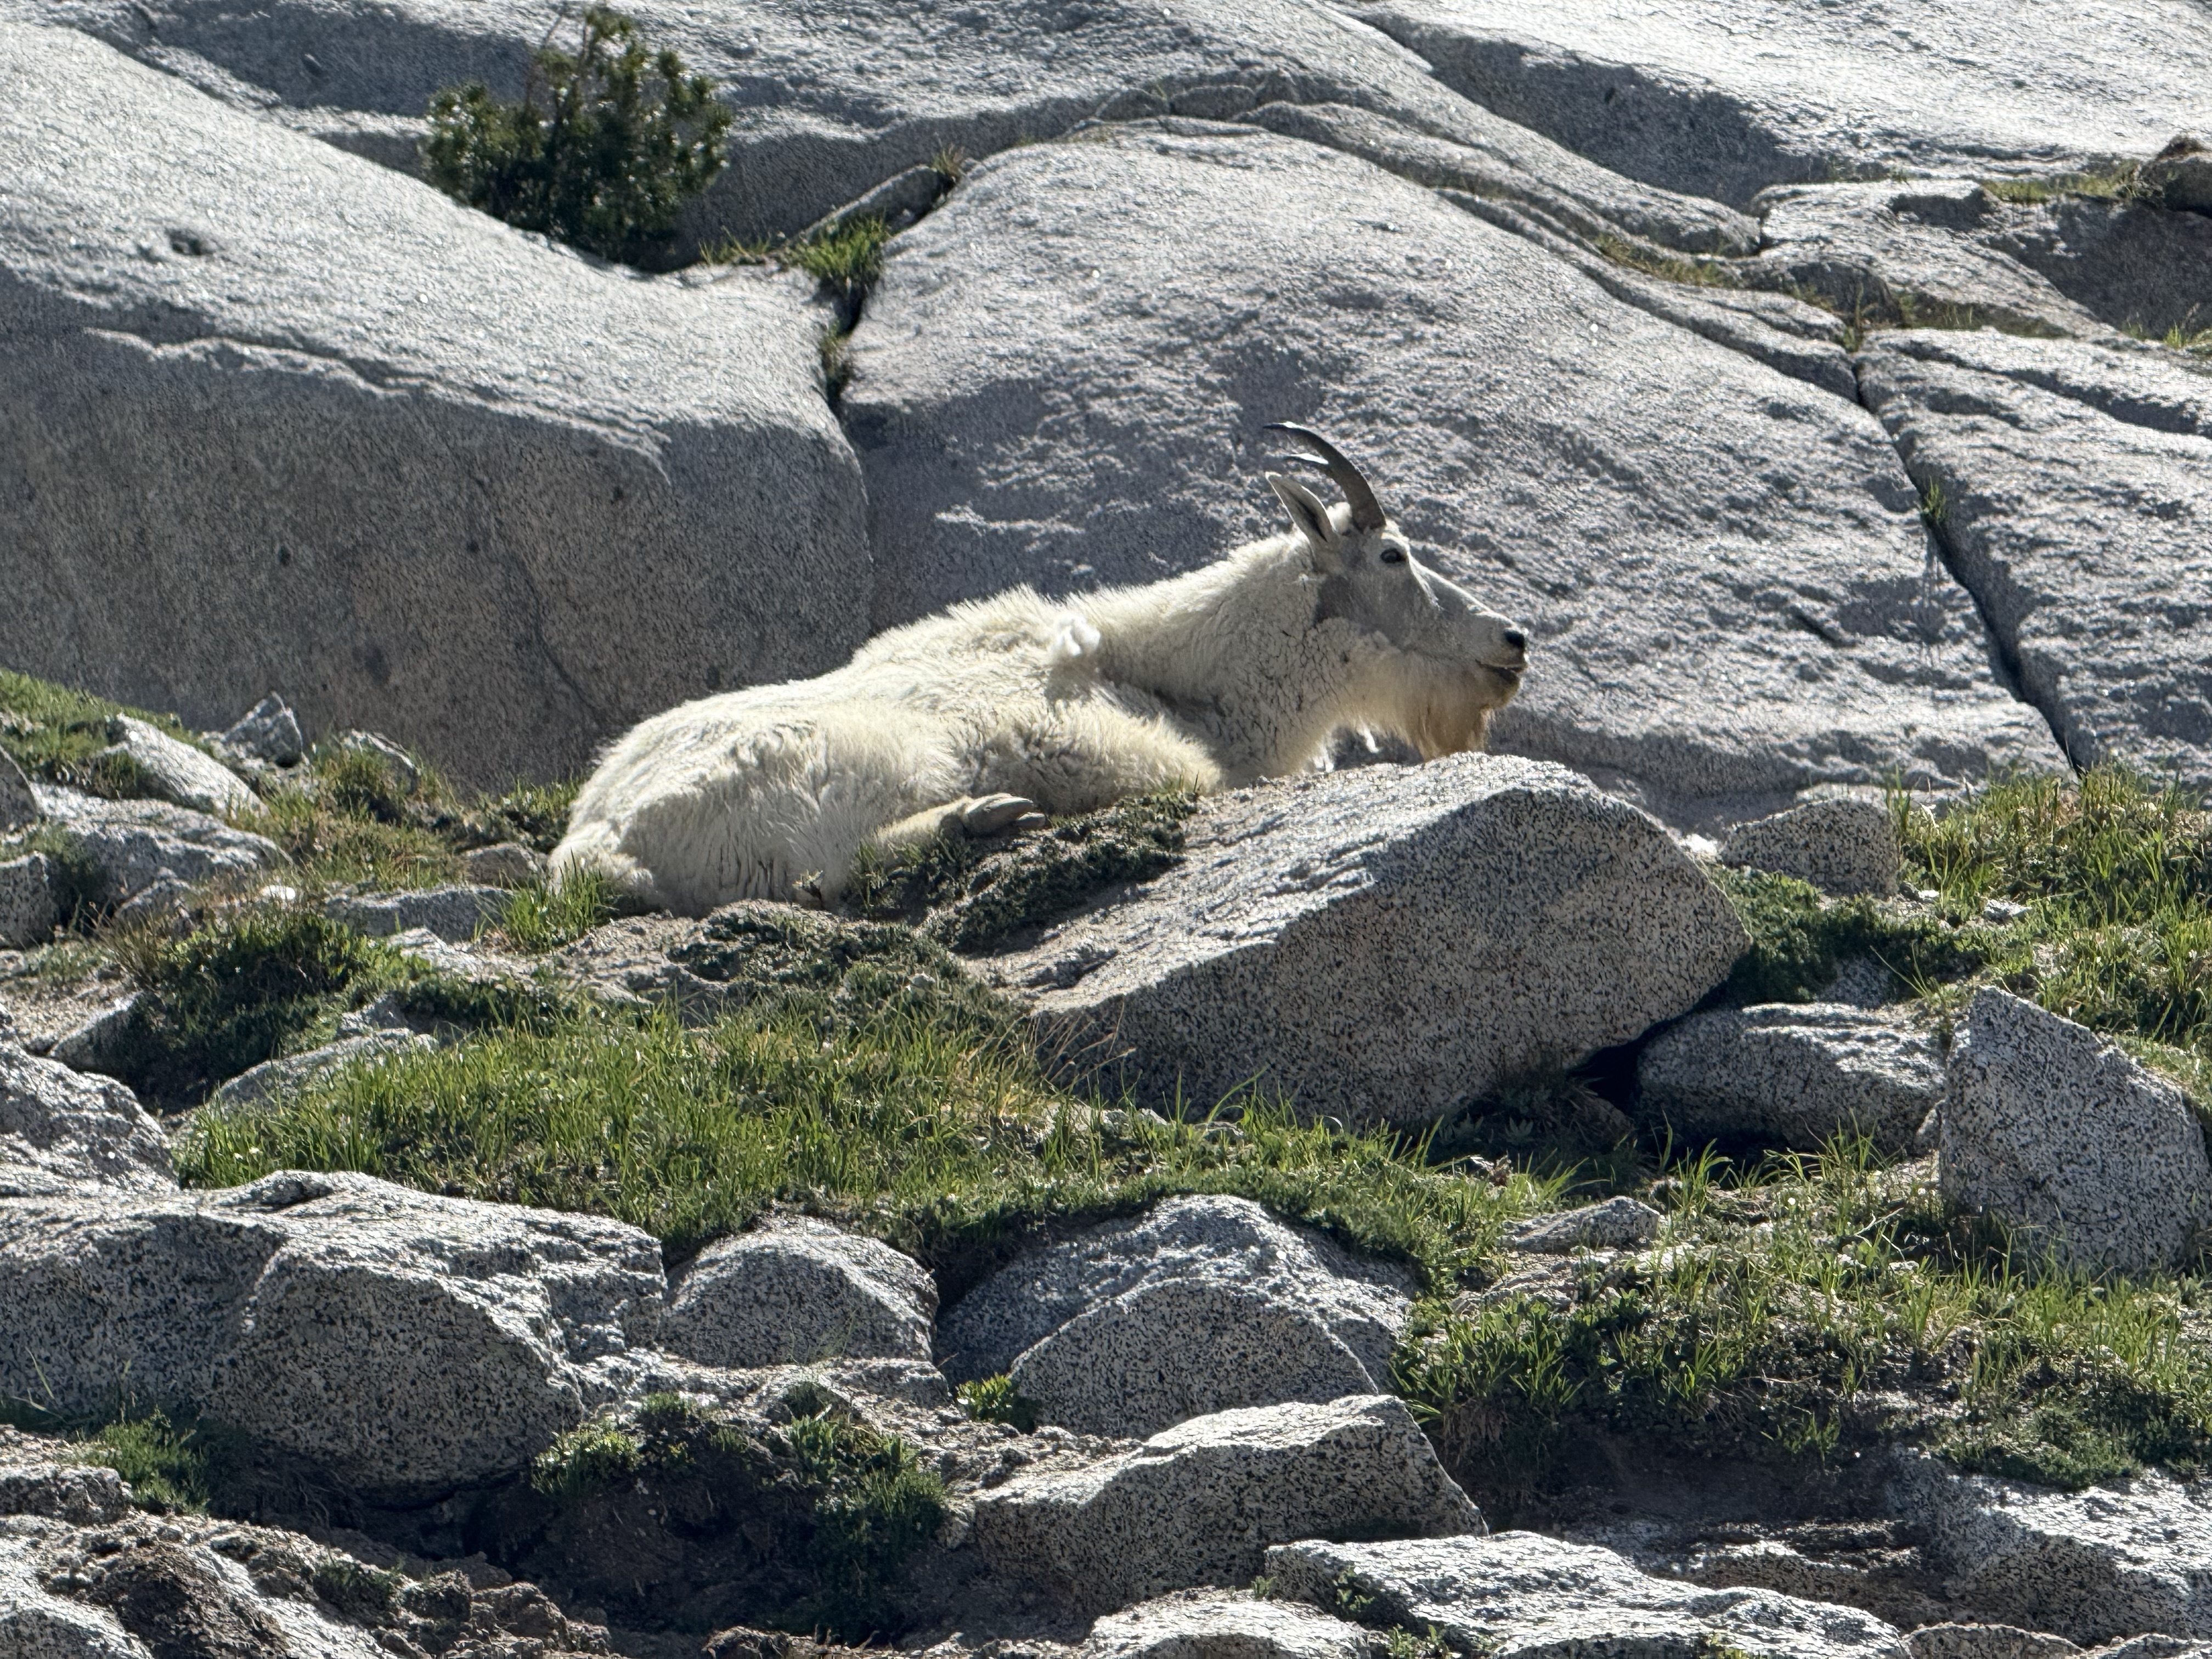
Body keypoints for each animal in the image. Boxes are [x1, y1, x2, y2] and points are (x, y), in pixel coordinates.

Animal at [551, 426, 1530, 913]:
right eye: (1396, 557)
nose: (1513, 641)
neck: (1198, 684)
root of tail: (596, 848)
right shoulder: (1111, 744)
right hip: (854, 769)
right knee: (817, 875)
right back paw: (983, 815)